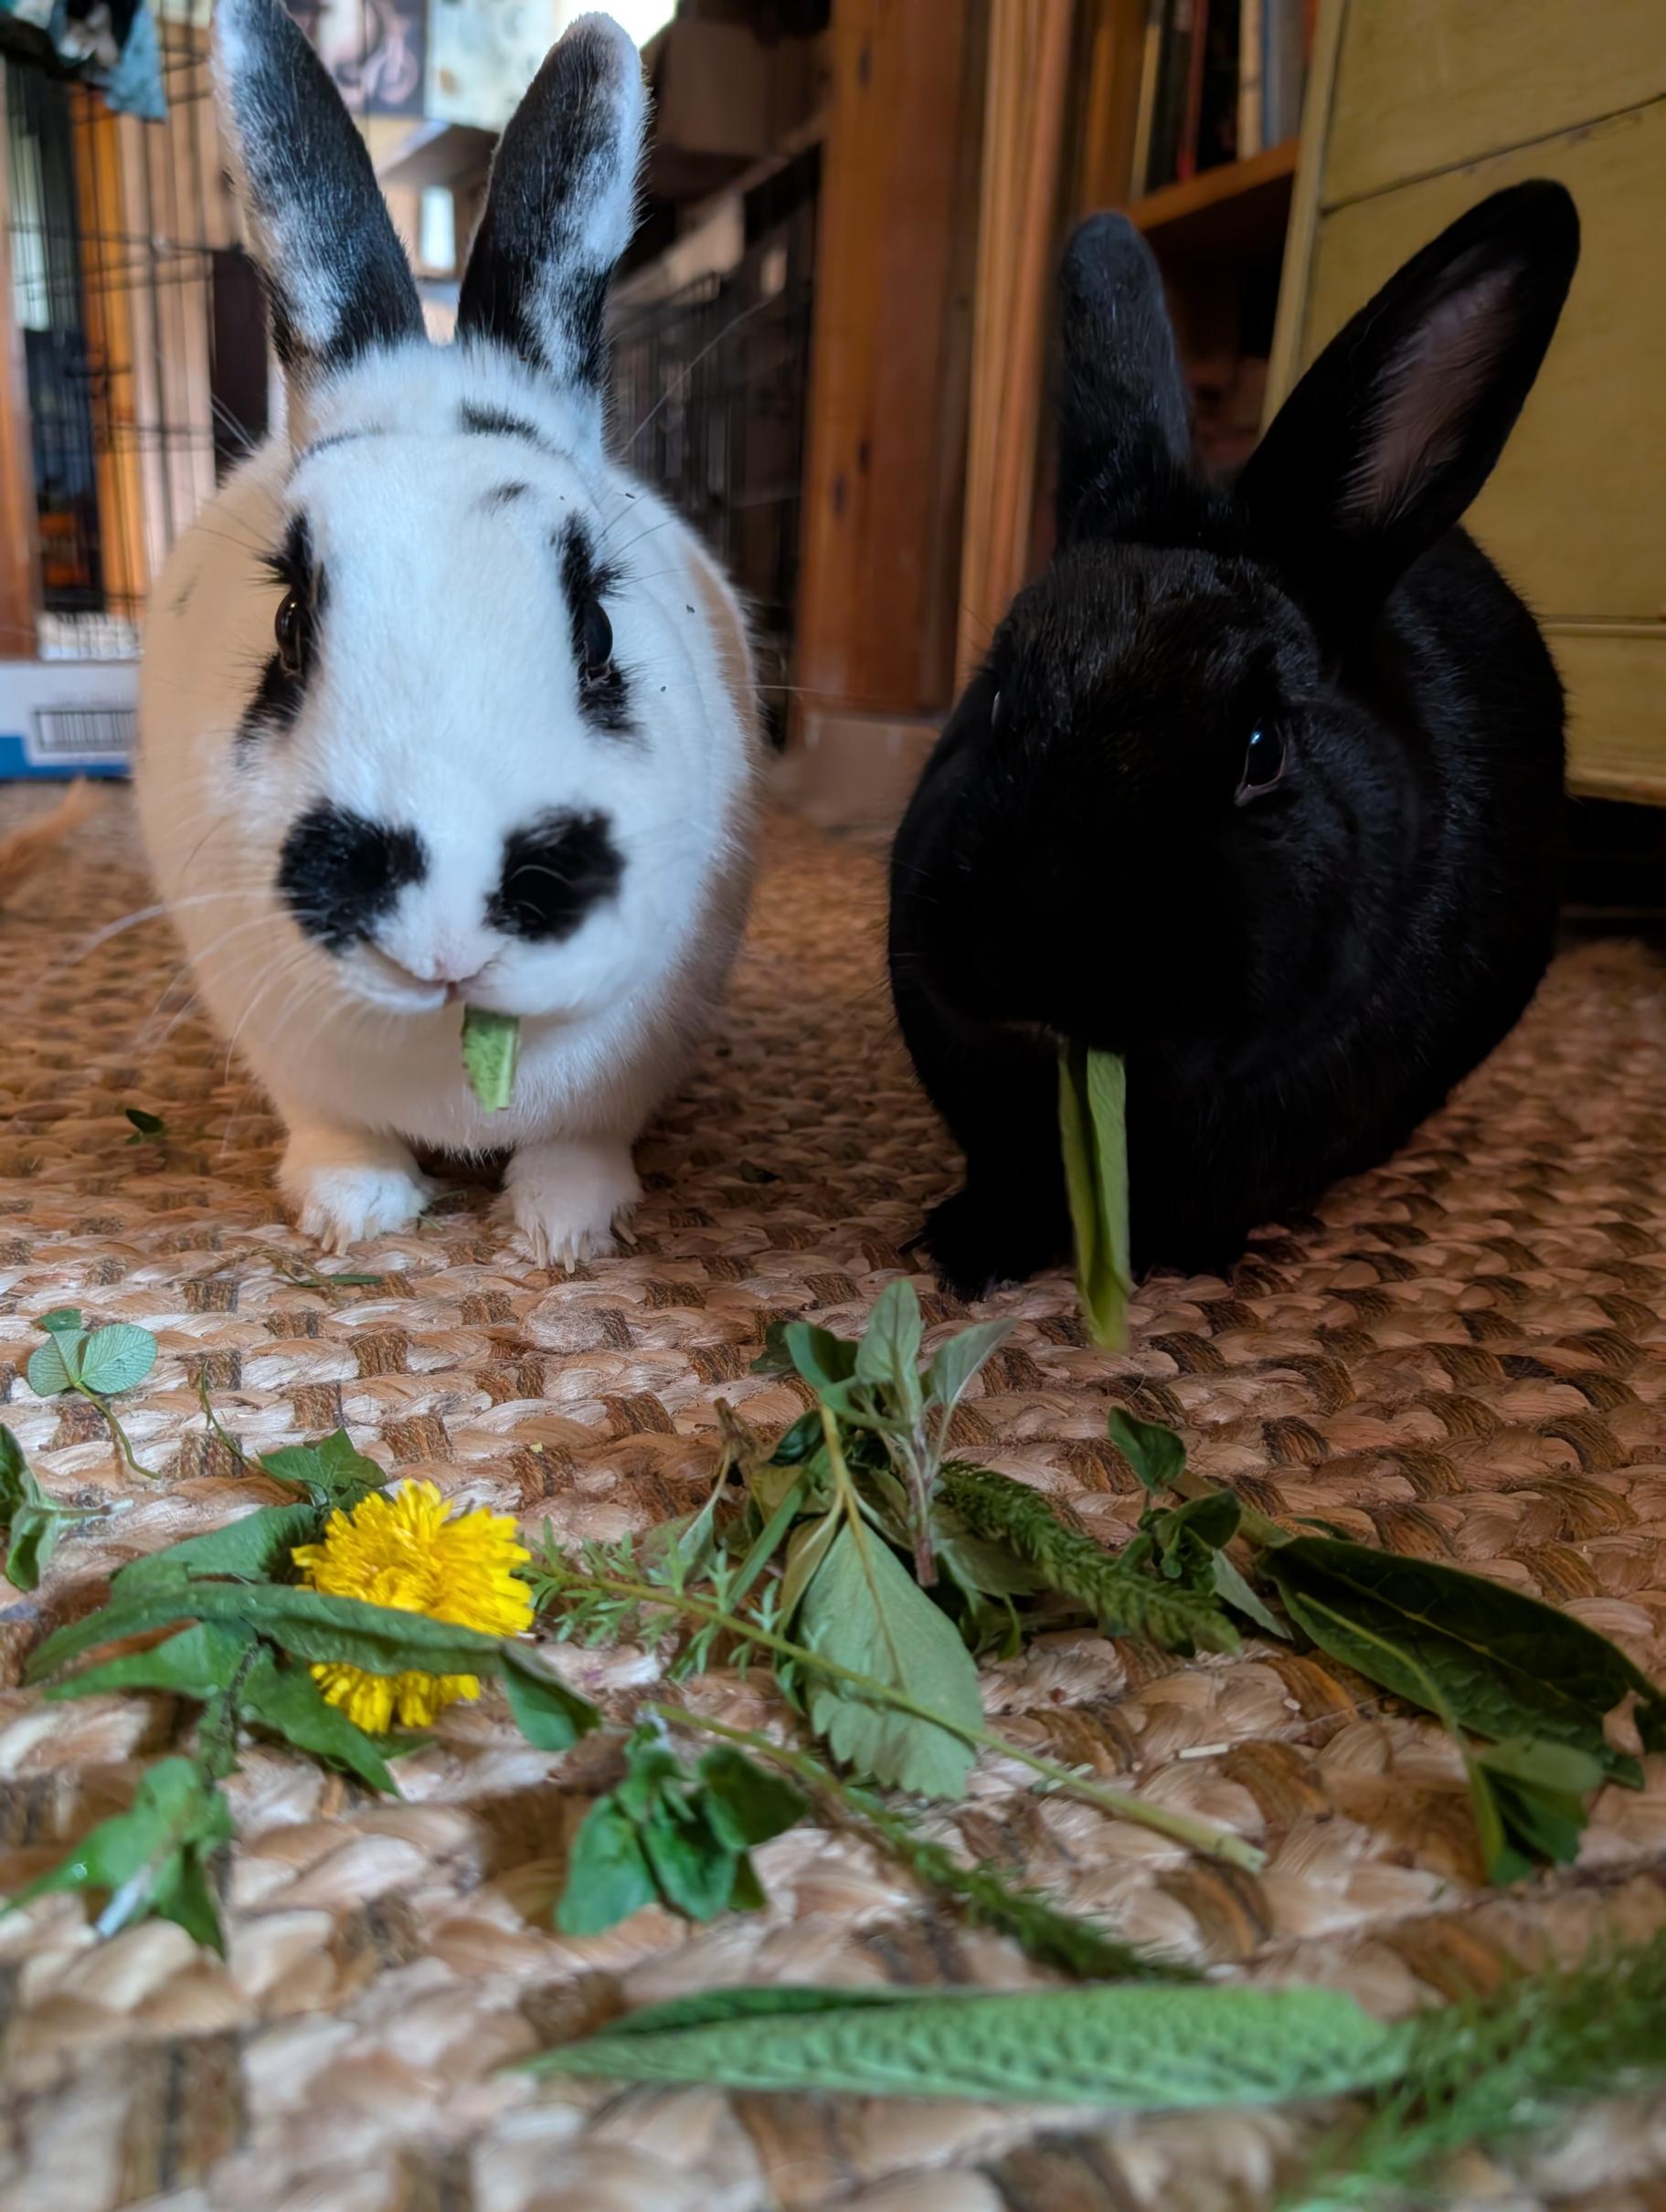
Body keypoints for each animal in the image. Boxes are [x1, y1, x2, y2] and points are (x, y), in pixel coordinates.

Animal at [136, 1, 759, 1263]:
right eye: (288, 624)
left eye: (597, 629)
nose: (444, 934)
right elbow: (335, 1129)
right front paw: (352, 1215)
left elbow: (583, 1141)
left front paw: (565, 1231)